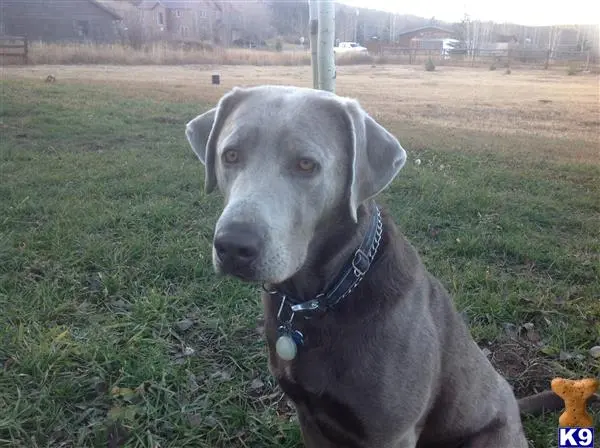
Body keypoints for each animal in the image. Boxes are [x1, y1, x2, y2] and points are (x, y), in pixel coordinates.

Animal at [185, 86, 576, 446]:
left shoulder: (391, 433)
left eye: (306, 164)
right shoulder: (308, 415)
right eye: (230, 155)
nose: (233, 246)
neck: (324, 295)